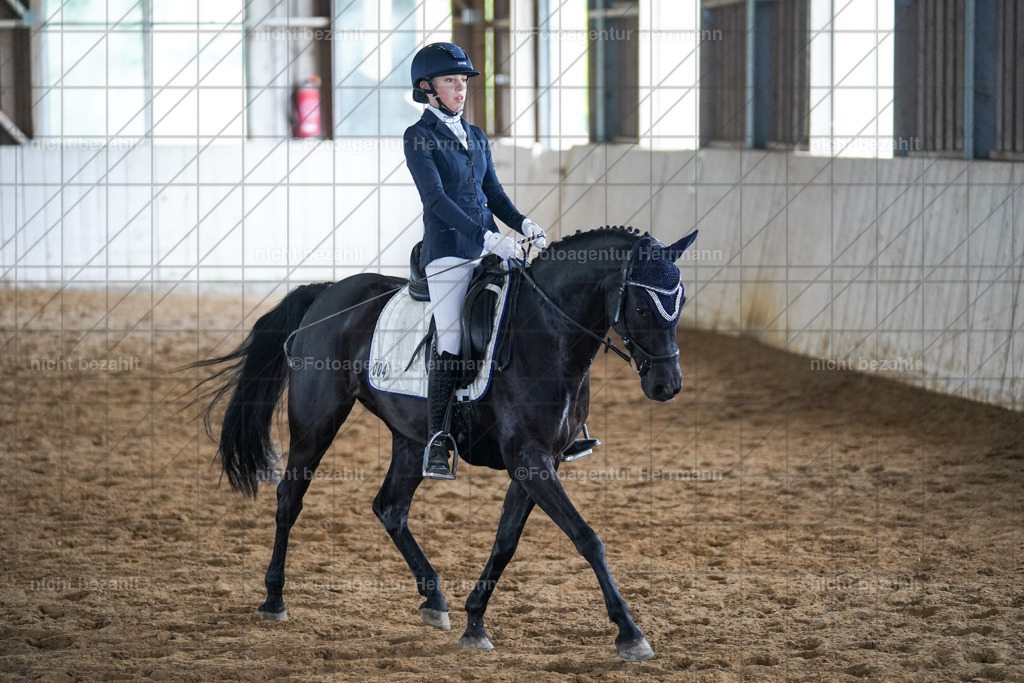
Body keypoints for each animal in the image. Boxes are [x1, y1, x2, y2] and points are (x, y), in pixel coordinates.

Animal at [189, 225, 698, 662]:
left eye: (681, 302)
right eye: (642, 307)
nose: (668, 385)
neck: (548, 334)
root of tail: (328, 292)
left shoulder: (537, 462)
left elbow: (506, 543)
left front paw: (475, 622)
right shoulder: (530, 460)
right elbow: (587, 537)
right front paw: (630, 633)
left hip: (411, 439)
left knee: (389, 507)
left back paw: (434, 598)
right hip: (316, 422)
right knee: (289, 499)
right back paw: (274, 598)